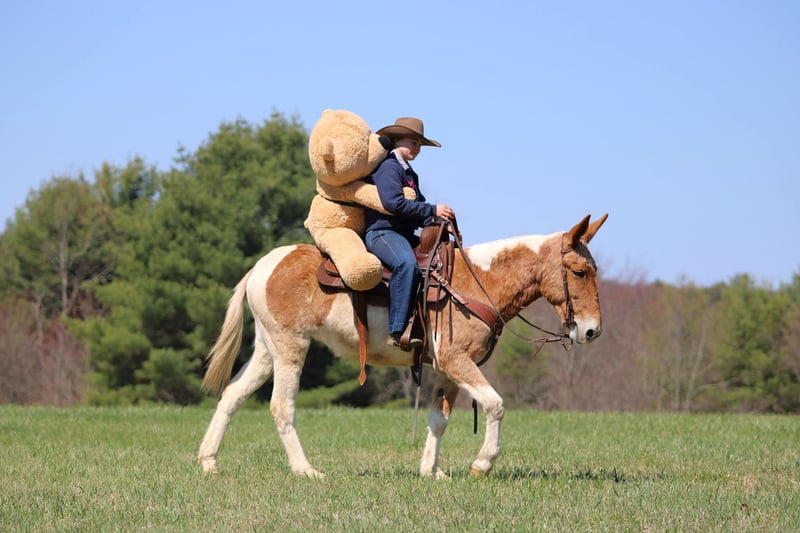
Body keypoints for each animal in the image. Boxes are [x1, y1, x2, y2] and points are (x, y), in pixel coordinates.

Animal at [198, 213, 608, 478]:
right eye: (579, 271)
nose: (591, 331)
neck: (478, 283)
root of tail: (262, 266)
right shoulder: (457, 361)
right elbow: (495, 405)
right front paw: (482, 464)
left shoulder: (446, 370)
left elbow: (438, 419)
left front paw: (431, 471)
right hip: (290, 348)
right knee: (281, 407)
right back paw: (305, 470)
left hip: (266, 350)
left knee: (232, 395)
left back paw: (208, 461)